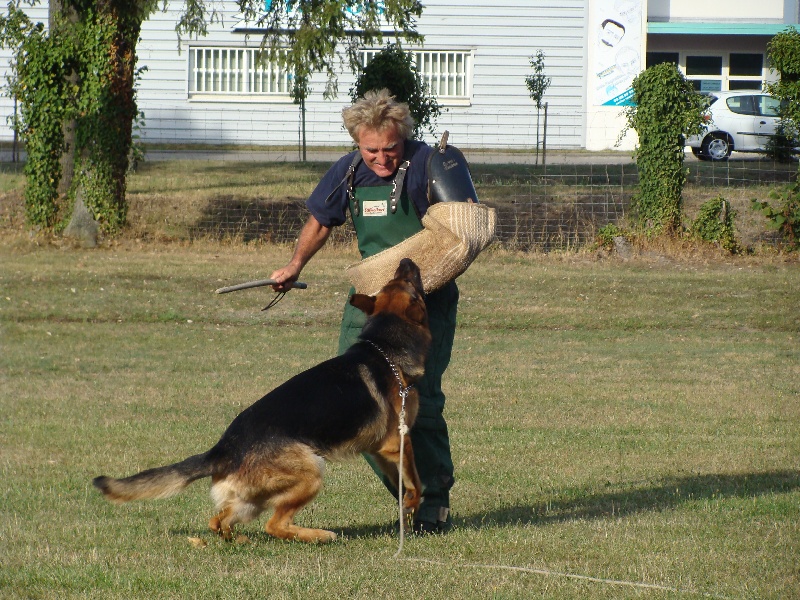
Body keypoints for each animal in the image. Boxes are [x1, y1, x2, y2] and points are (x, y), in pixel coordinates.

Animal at [94, 258, 432, 544]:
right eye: (409, 282)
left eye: (395, 279)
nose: (406, 260)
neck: (385, 347)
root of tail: (223, 449)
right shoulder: (398, 443)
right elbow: (416, 482)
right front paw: (413, 505)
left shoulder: (381, 451)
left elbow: (401, 483)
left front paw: (405, 509)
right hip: (311, 471)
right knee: (274, 525)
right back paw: (320, 535)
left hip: (251, 500)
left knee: (218, 522)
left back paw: (240, 540)